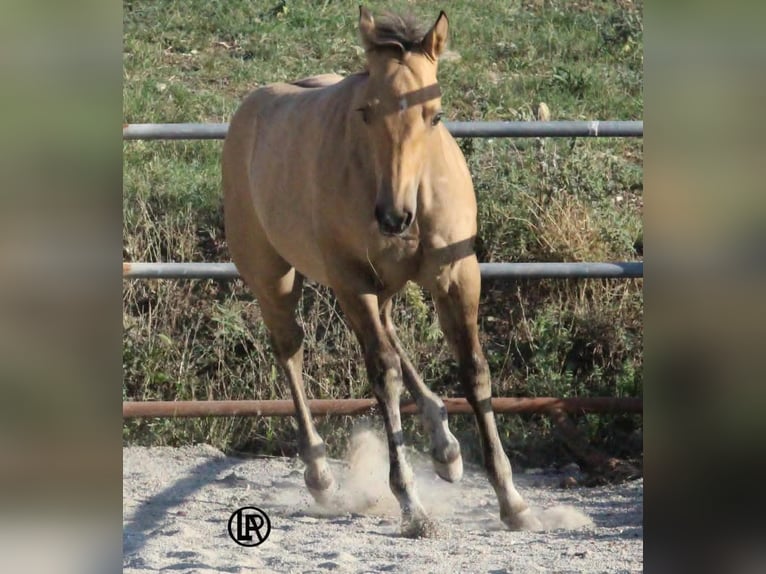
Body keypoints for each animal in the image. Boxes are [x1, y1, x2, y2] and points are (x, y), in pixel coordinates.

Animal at [222, 7, 541, 537]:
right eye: (365, 112)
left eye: (435, 115)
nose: (393, 218)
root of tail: (249, 111)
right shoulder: (352, 282)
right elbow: (383, 374)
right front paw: (411, 502)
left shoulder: (457, 274)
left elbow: (474, 370)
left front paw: (512, 500)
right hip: (277, 278)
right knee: (291, 349)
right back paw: (320, 473)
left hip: (383, 285)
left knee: (389, 332)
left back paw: (446, 448)